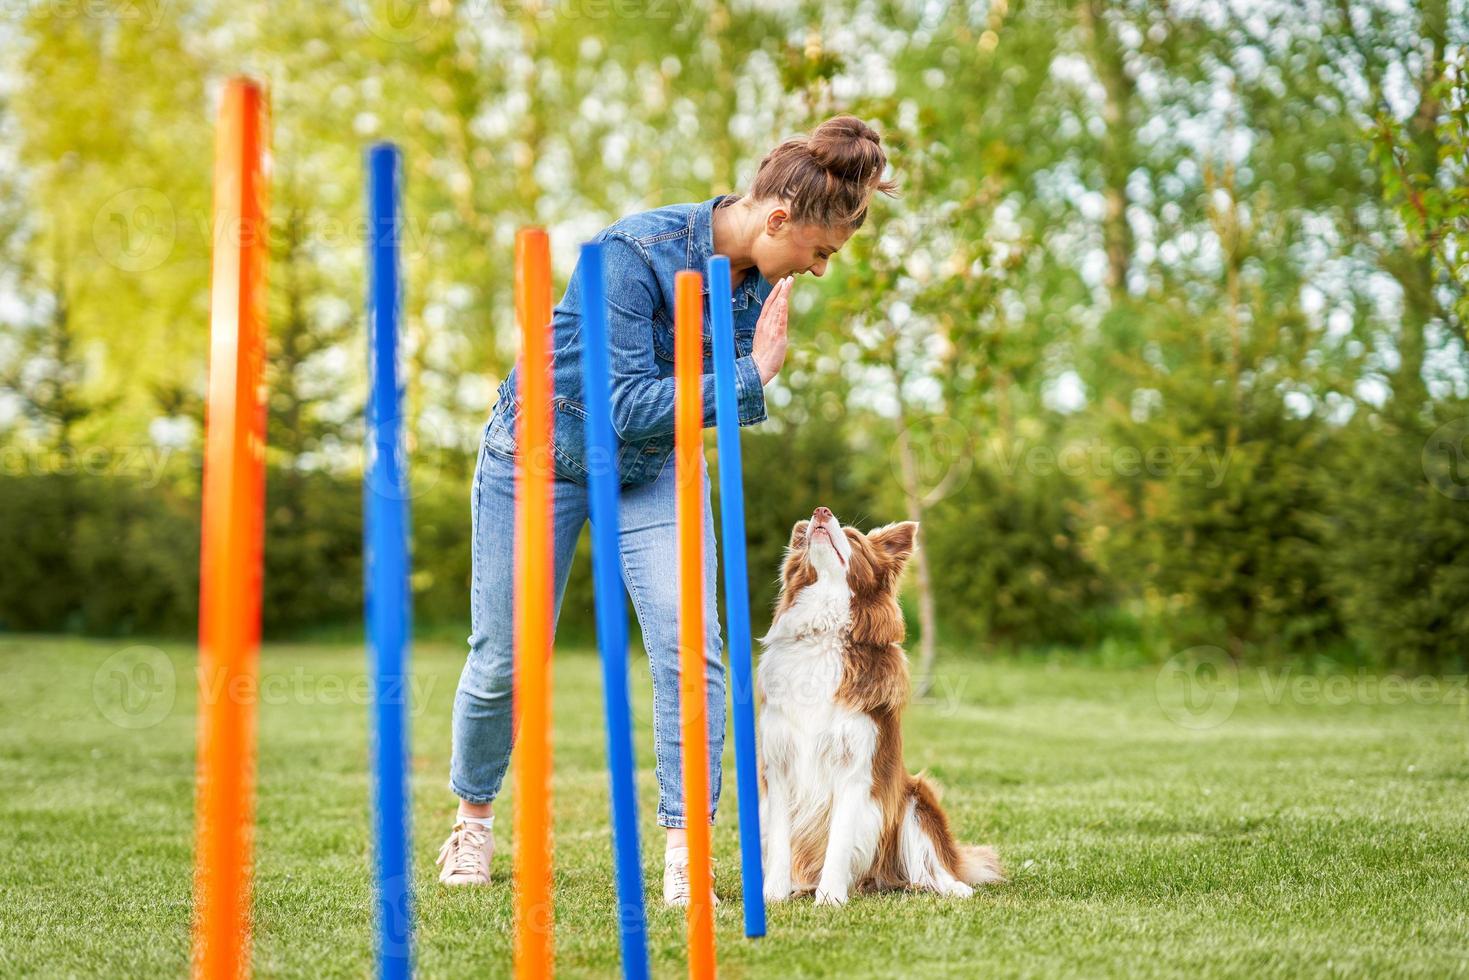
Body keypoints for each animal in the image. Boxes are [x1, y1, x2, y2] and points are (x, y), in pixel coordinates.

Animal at [758, 511, 998, 910]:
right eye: (805, 537)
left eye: (853, 538)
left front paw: (830, 897)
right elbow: (779, 840)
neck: (824, 635)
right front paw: (772, 895)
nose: (820, 512)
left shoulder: (854, 766)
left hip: (917, 798)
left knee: (931, 865)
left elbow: (839, 839)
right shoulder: (778, 764)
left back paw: (953, 887)